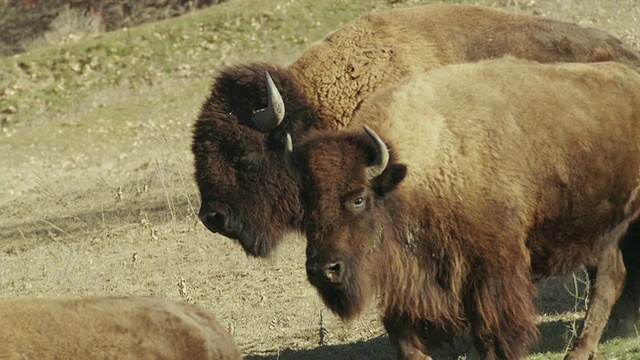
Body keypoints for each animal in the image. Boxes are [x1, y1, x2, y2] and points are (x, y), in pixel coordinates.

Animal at [284, 57, 640, 358]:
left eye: (358, 198)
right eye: (306, 204)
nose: (323, 270)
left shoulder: (492, 271)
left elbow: (493, 332)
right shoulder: (412, 280)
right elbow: (406, 335)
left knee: (607, 281)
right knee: (611, 277)